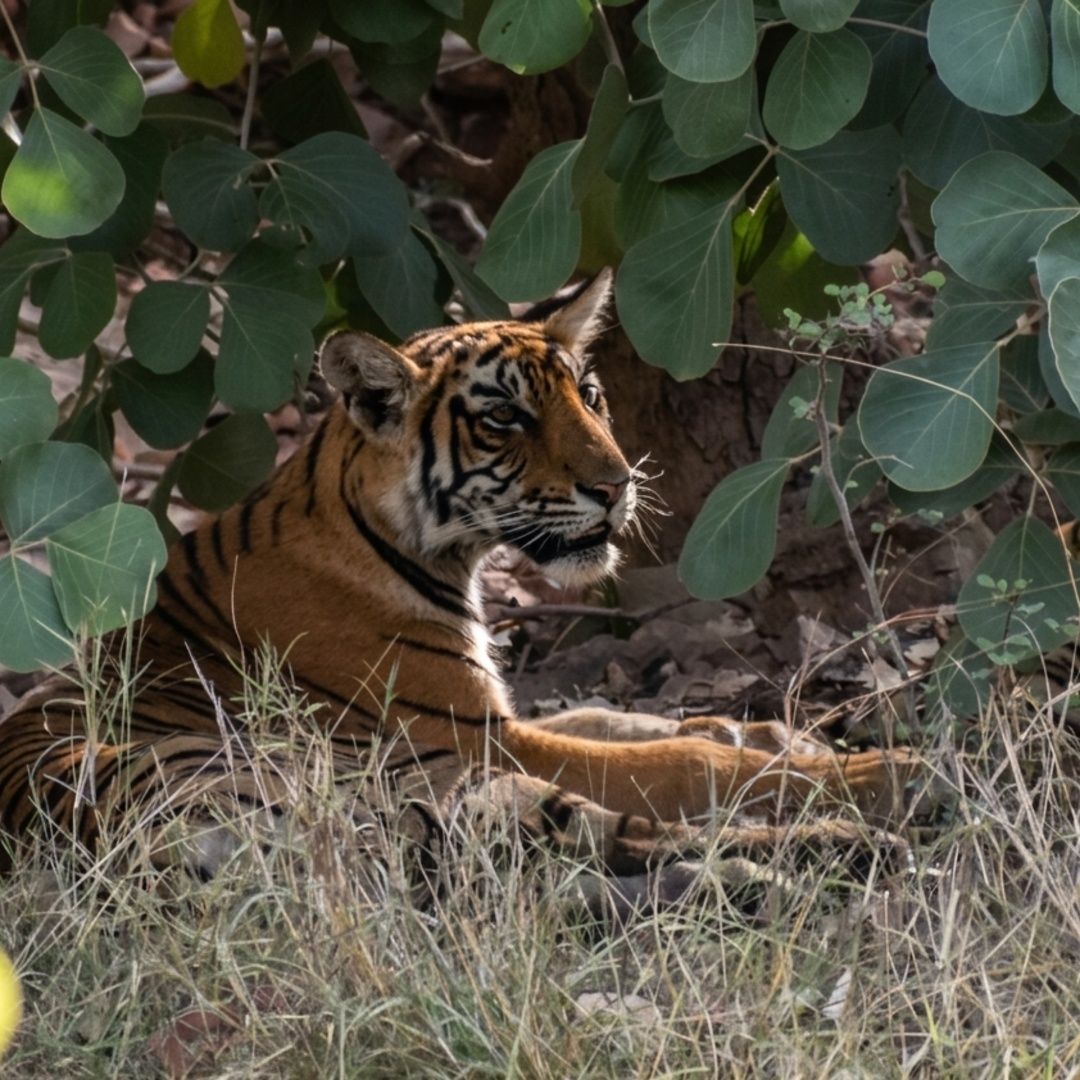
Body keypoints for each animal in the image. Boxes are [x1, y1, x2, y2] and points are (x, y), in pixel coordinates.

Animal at [0, 271, 921, 908]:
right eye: (506, 418)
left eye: (589, 396)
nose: (618, 484)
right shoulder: (476, 741)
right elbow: (678, 761)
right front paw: (869, 769)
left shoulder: (492, 720)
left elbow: (624, 717)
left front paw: (767, 731)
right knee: (622, 842)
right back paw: (859, 834)